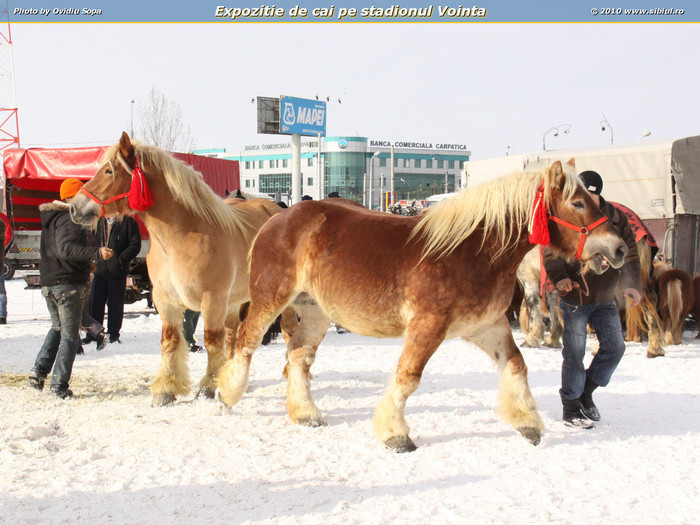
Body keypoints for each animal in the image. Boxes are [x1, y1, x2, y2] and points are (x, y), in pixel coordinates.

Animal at [71, 132, 288, 406]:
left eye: (109, 171)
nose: (74, 207)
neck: (181, 239)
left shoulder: (213, 300)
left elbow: (211, 342)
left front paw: (207, 388)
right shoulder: (165, 300)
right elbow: (171, 342)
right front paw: (166, 389)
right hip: (235, 300)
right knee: (234, 335)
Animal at [216, 160, 628, 450]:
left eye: (595, 201)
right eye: (578, 202)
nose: (619, 248)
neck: (472, 251)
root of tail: (276, 219)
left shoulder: (488, 326)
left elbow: (516, 365)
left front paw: (527, 422)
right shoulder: (428, 326)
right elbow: (408, 377)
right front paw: (395, 434)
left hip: (316, 312)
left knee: (299, 358)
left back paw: (305, 413)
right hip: (270, 298)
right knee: (246, 342)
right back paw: (226, 393)